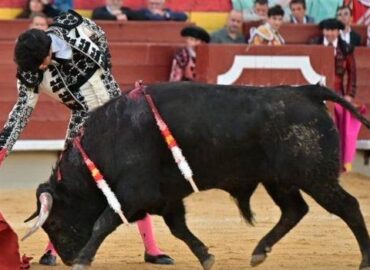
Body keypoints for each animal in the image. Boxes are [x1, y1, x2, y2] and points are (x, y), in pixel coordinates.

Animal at [28, 83, 370, 268]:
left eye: (53, 223)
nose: (67, 258)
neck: (109, 140)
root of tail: (308, 91)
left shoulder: (132, 194)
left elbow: (103, 222)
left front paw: (84, 259)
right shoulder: (166, 197)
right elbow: (179, 228)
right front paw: (206, 256)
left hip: (315, 176)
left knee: (349, 207)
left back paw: (364, 260)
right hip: (280, 180)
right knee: (295, 210)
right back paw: (259, 252)